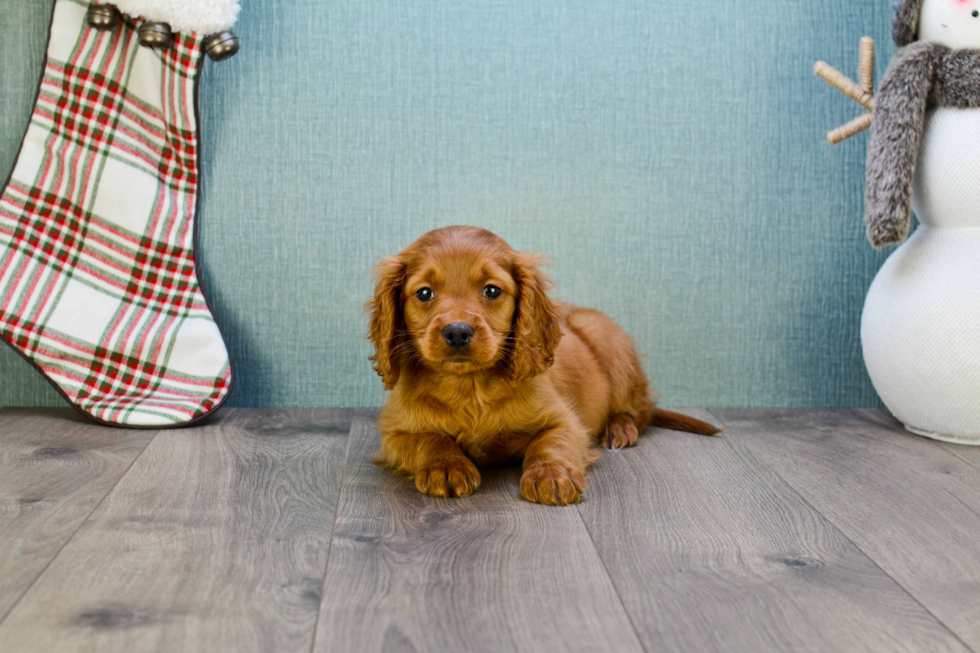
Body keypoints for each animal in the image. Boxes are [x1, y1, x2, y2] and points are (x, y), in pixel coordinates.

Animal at [364, 224, 716, 504]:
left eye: (492, 290)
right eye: (424, 293)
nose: (457, 332)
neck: (469, 386)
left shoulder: (566, 421)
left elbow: (550, 443)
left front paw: (551, 475)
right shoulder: (394, 432)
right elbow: (429, 439)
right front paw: (447, 465)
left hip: (609, 342)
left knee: (640, 410)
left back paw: (620, 428)